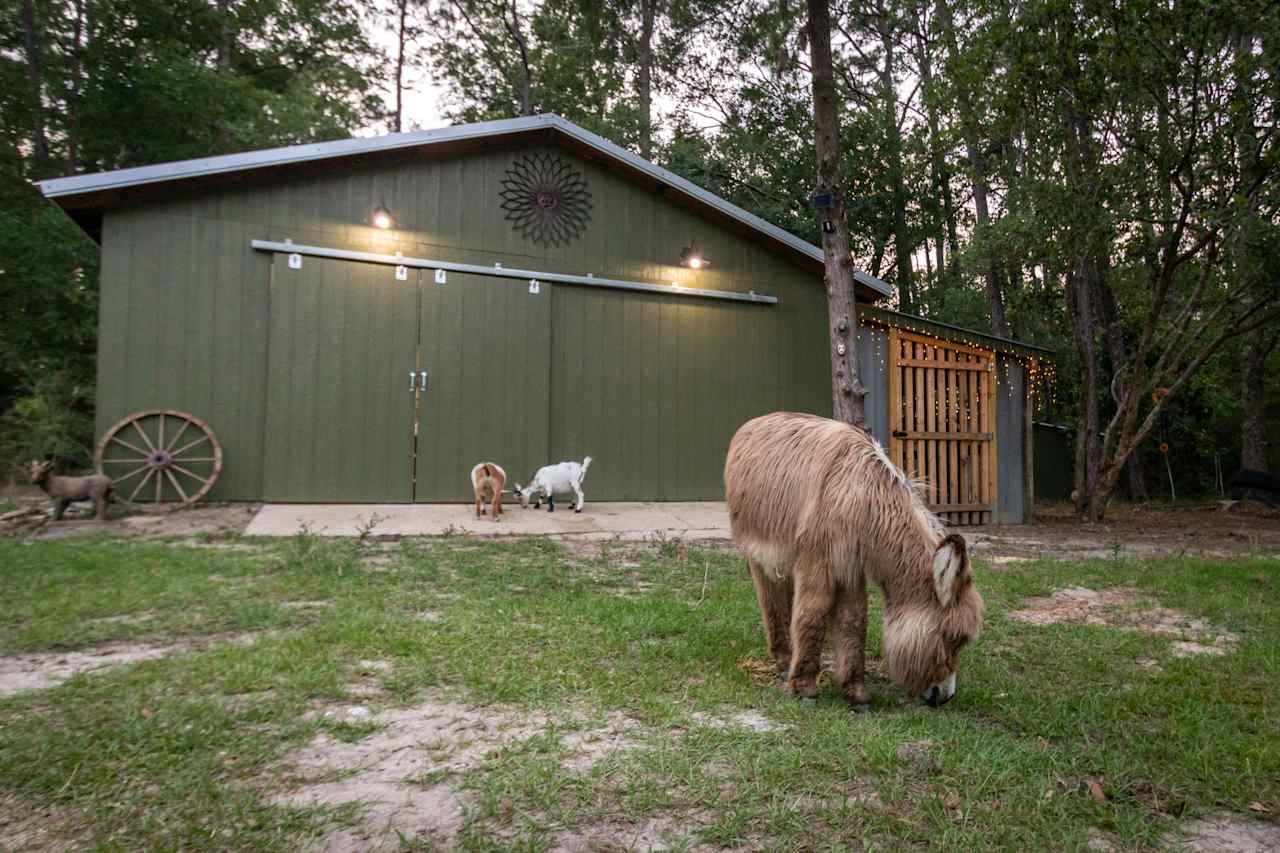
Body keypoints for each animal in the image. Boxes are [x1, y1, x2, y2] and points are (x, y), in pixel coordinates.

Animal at [727, 409, 983, 706]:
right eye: (953, 638)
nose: (945, 697)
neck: (865, 498)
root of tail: (757, 420)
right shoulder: (819, 561)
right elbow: (812, 613)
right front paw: (804, 687)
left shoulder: (850, 567)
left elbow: (854, 620)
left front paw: (855, 691)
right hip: (759, 553)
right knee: (771, 599)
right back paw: (783, 660)